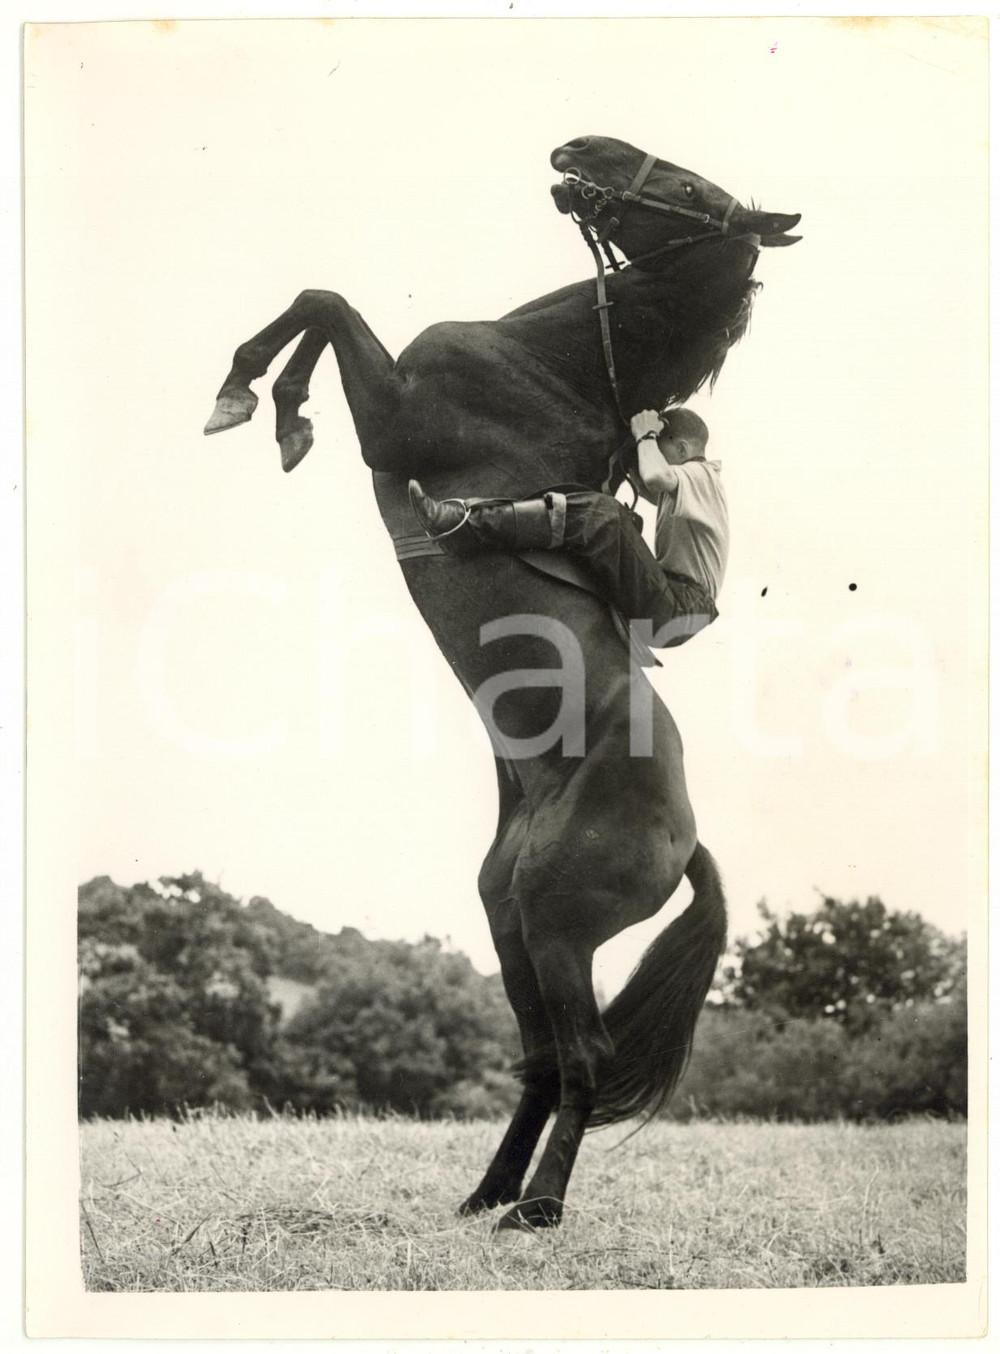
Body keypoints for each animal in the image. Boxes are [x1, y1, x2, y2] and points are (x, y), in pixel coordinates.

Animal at [205, 136, 800, 1230]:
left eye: (686, 188)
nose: (579, 148)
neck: (548, 370)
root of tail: (686, 839)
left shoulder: (395, 416)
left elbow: (324, 301)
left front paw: (257, 399)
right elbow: (321, 305)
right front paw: (277, 413)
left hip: (560, 928)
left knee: (585, 1057)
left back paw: (541, 1206)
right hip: (509, 919)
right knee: (540, 1058)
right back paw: (487, 1193)